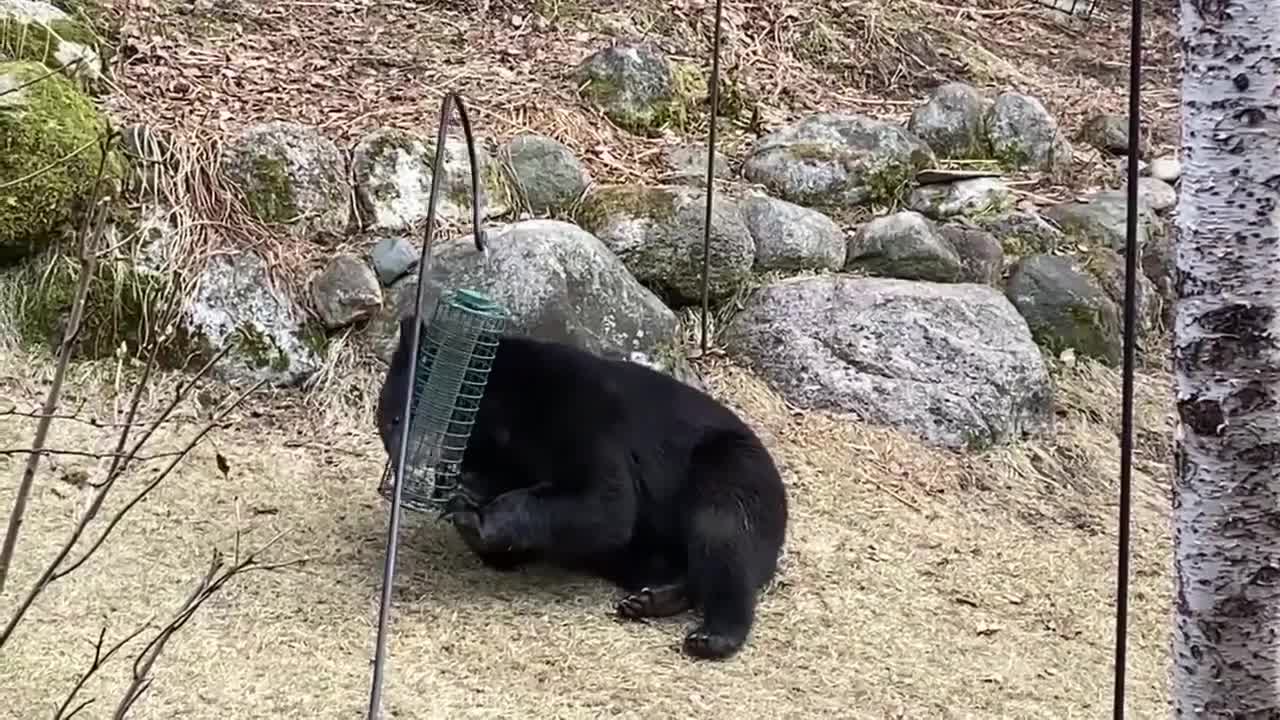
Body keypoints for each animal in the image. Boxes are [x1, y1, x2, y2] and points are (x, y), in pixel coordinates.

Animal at [373, 311, 783, 661]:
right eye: (391, 421)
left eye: (409, 418)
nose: (407, 470)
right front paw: (464, 497)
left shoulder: (580, 413)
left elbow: (604, 501)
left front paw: (475, 517)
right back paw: (652, 597)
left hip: (731, 470)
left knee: (723, 535)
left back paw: (712, 634)